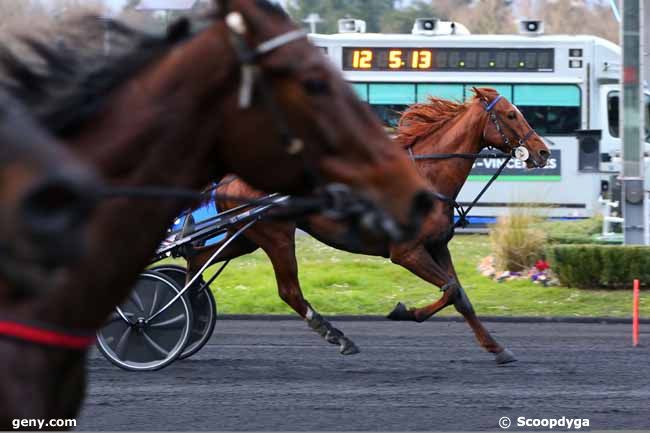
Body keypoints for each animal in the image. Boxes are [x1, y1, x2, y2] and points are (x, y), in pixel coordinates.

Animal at [186, 89, 548, 362]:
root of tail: (230, 178)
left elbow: (461, 297)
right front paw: (404, 312)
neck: (423, 177)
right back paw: (336, 336)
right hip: (276, 235)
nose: (542, 151)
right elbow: (450, 290)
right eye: (511, 114)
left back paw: (191, 311)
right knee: (289, 291)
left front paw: (497, 348)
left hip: (245, 235)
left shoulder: (437, 246)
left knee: (196, 260)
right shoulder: (406, 252)